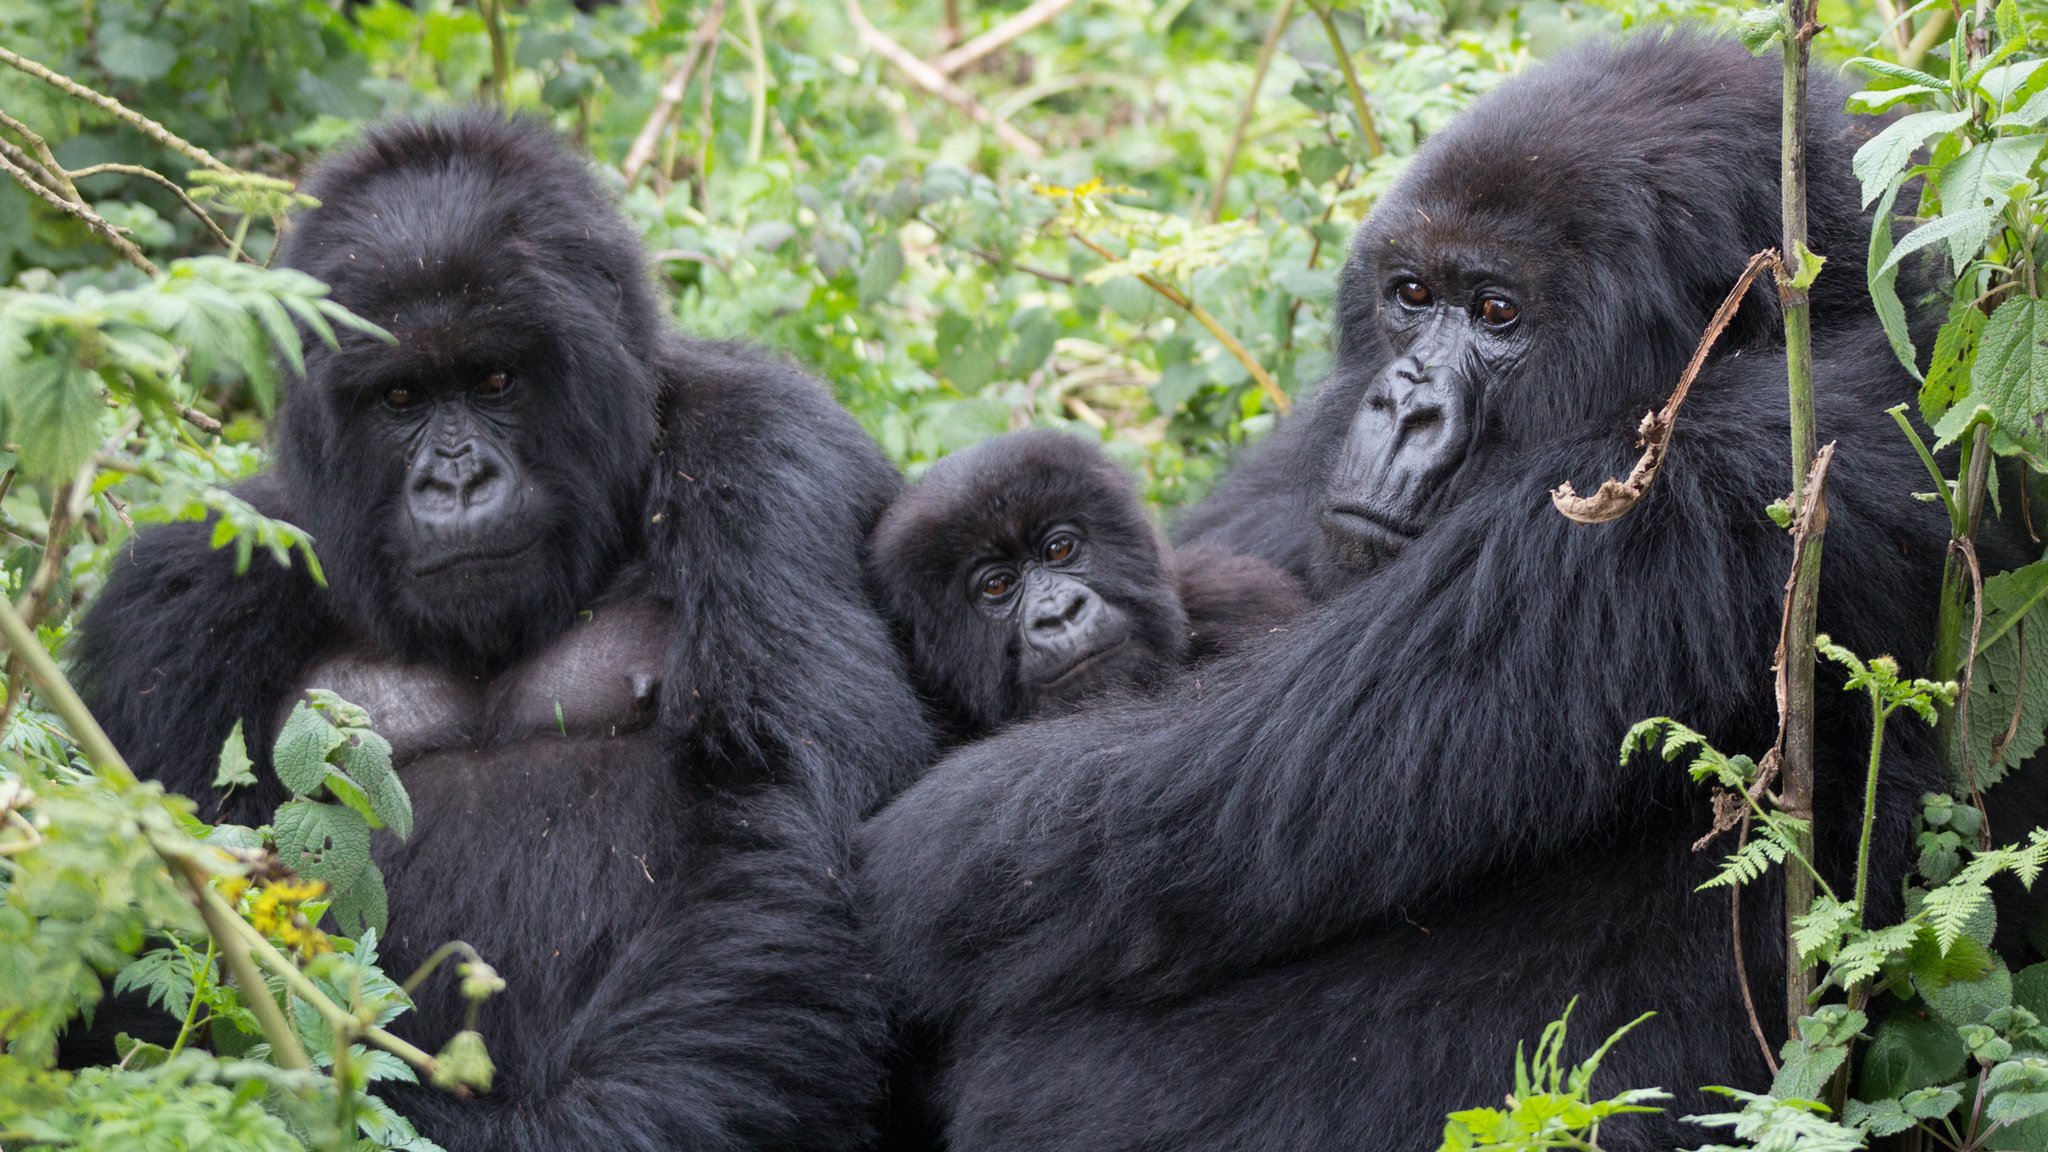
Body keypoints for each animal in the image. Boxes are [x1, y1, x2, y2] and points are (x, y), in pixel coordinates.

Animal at [75, 114, 929, 1147]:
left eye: (495, 380)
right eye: (400, 399)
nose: (456, 480)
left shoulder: (769, 454)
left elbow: (784, 818)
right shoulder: (177, 600)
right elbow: (141, 964)